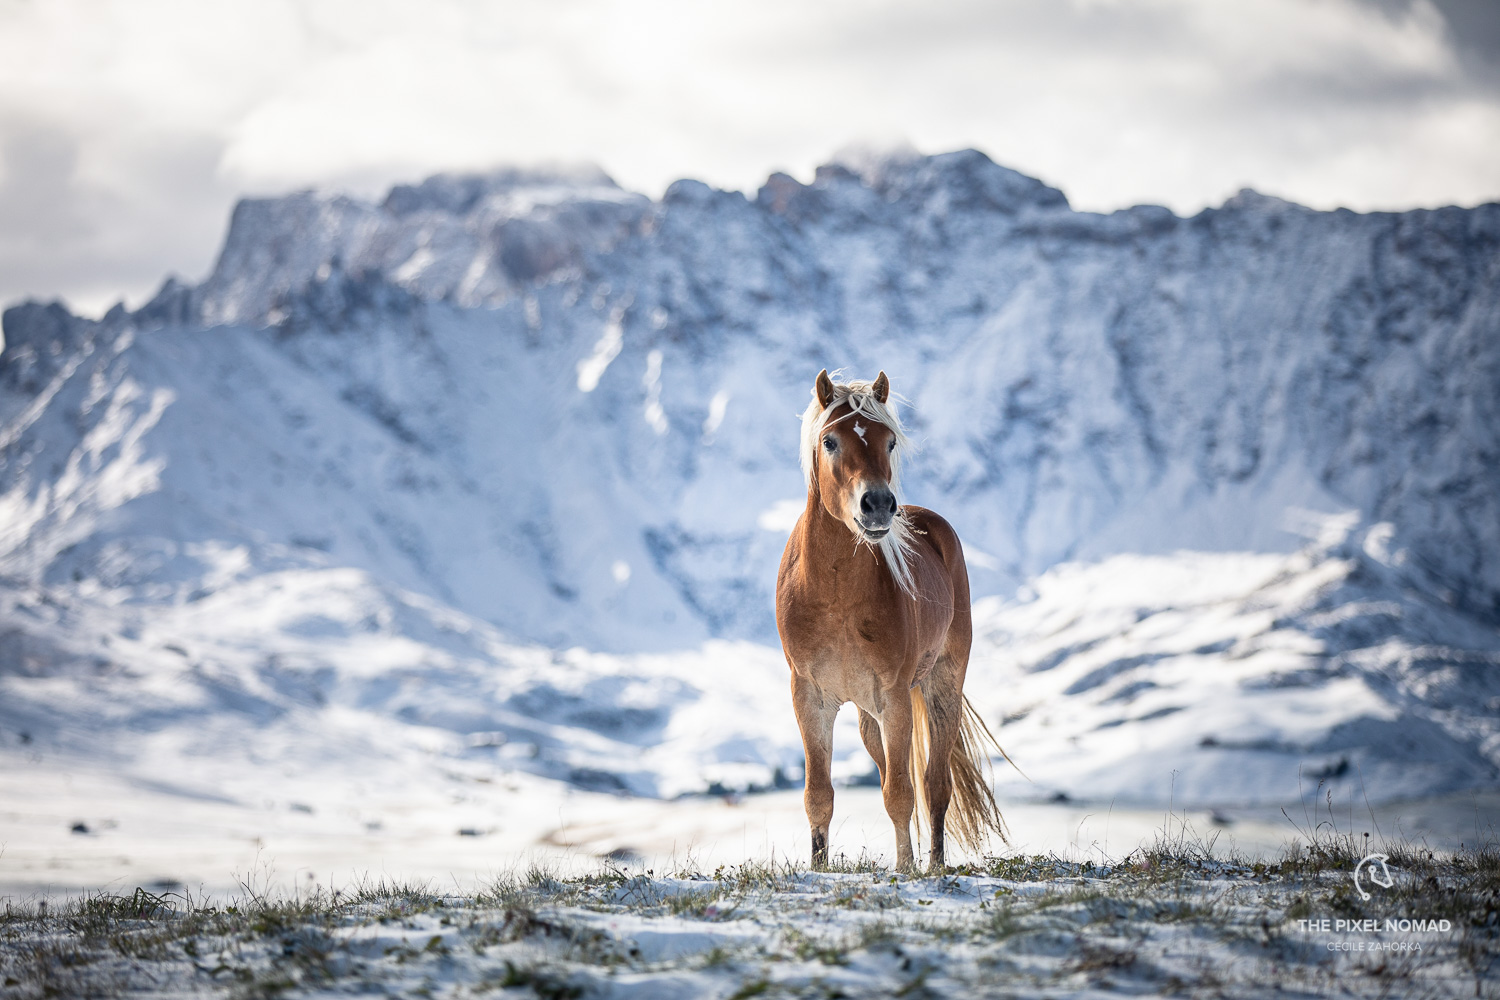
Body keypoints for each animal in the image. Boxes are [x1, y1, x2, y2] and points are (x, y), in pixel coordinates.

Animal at [776, 369, 1008, 873]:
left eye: (890, 440)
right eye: (830, 441)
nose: (879, 504)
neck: (836, 595)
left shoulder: (896, 697)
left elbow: (901, 793)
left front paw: (905, 869)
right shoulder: (810, 697)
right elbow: (818, 796)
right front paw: (819, 869)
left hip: (942, 684)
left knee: (934, 784)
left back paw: (934, 863)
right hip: (869, 716)